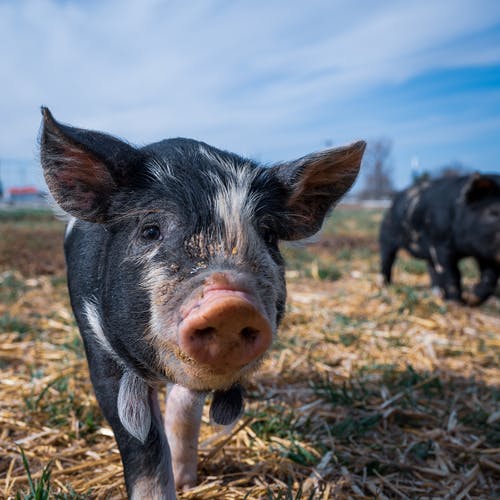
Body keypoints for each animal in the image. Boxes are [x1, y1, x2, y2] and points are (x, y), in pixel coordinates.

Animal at [39, 107, 366, 498]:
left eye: (268, 235)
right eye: (150, 230)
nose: (229, 304)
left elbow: (184, 407)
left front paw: (185, 483)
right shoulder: (98, 344)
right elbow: (142, 446)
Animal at [380, 174, 498, 306]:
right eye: (493, 212)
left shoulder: (485, 254)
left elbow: (490, 276)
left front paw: (471, 299)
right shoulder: (440, 245)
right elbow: (452, 274)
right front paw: (456, 304)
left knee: (431, 268)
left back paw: (437, 294)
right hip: (386, 236)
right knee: (387, 260)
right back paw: (385, 285)